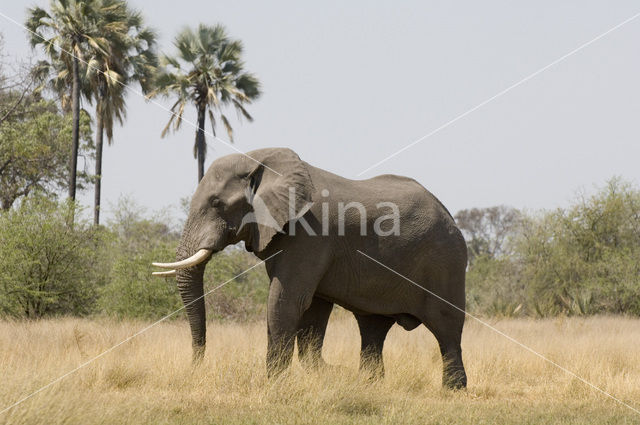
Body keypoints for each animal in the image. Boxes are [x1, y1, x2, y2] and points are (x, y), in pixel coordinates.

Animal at [152, 147, 468, 390]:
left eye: (217, 203)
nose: (195, 366)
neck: (262, 162)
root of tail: (449, 215)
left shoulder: (309, 233)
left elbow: (286, 300)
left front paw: (275, 384)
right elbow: (313, 309)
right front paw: (326, 375)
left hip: (446, 262)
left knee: (446, 328)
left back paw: (452, 391)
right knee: (373, 328)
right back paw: (370, 384)